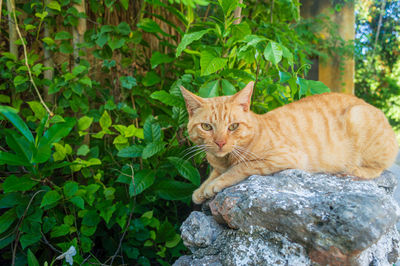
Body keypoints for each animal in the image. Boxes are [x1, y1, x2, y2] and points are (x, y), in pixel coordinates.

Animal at [180, 81, 398, 204]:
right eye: (206, 127)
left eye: (233, 126)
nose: (220, 143)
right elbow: (213, 174)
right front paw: (201, 189)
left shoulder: (282, 158)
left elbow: (240, 167)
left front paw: (214, 184)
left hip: (358, 116)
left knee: (379, 168)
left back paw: (354, 169)